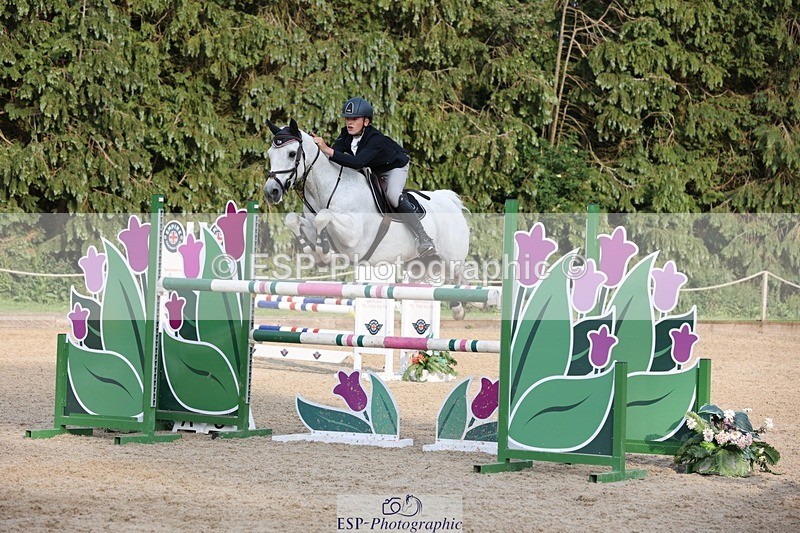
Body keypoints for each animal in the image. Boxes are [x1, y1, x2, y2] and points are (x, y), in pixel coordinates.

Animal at [262, 119, 471, 320]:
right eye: (270, 154)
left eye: (291, 154)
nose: (271, 192)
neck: (326, 189)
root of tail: (449, 200)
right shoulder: (311, 224)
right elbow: (293, 219)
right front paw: (314, 250)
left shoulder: (353, 234)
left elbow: (325, 216)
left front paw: (324, 251)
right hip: (418, 265)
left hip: (451, 258)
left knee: (459, 276)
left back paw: (458, 308)